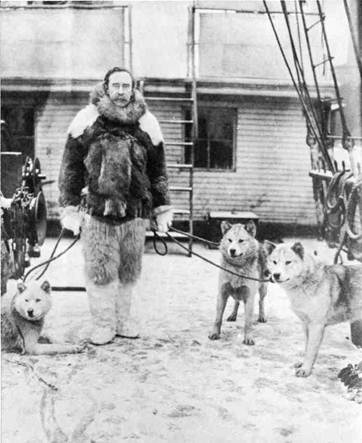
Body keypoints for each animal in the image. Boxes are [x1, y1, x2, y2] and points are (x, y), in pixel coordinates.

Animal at [266, 243, 362, 378]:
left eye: (288, 262)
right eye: (274, 262)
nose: (276, 275)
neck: (306, 281)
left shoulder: (316, 326)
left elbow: (311, 350)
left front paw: (305, 370)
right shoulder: (306, 324)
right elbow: (307, 348)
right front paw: (304, 365)